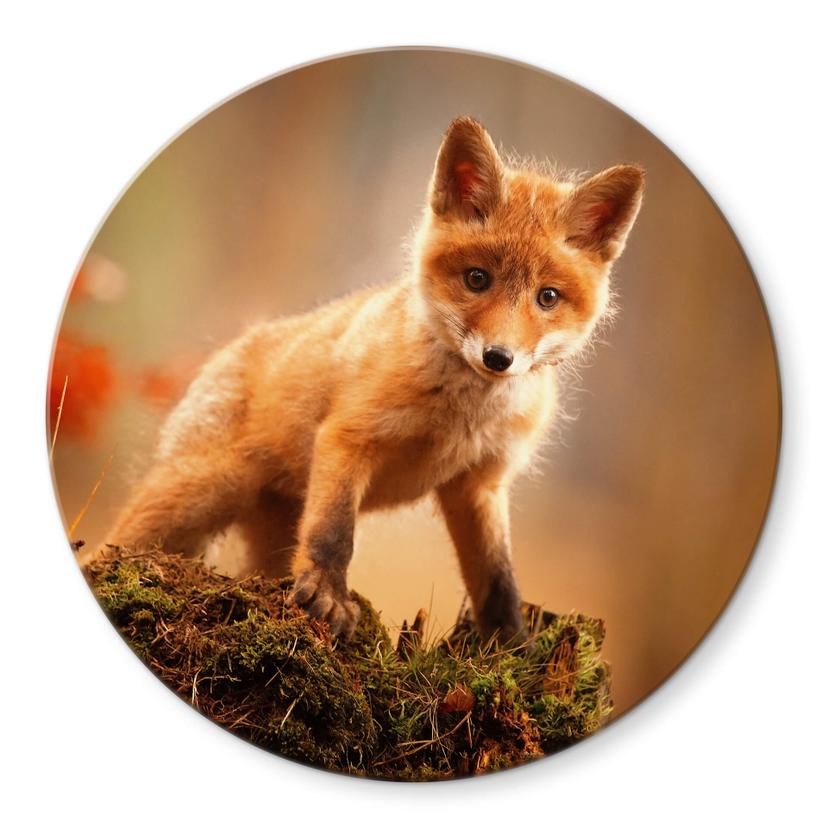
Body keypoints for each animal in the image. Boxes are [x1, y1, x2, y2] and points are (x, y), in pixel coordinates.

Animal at [108, 117, 644, 643]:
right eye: (477, 279)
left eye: (547, 297)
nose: (498, 357)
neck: (460, 416)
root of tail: (230, 348)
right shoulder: (348, 438)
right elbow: (334, 534)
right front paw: (328, 597)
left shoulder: (479, 483)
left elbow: (498, 579)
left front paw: (509, 646)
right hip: (199, 493)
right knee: (115, 545)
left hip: (267, 533)